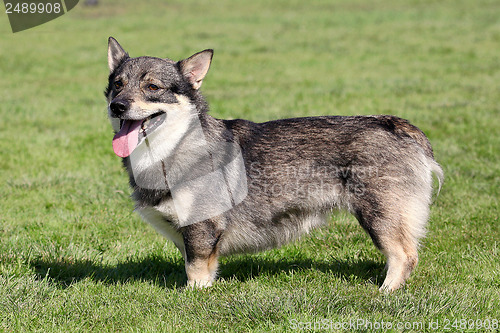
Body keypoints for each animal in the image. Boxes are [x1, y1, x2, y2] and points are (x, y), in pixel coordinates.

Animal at [104, 37, 442, 290]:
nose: (117, 106)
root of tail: (395, 125)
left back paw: (385, 292)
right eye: (118, 84)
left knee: (404, 255)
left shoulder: (201, 230)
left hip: (379, 215)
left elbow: (196, 272)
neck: (174, 147)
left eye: (152, 87)